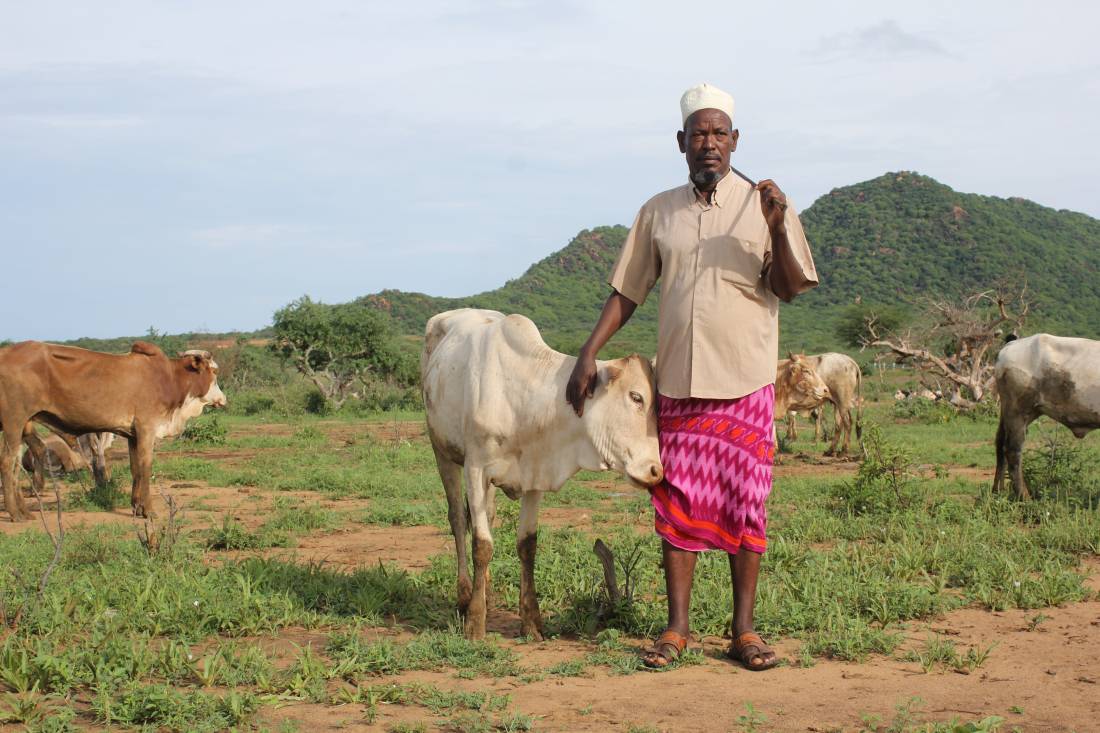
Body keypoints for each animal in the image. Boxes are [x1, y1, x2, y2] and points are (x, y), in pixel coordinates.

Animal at [0, 341, 225, 520]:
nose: (223, 399)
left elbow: (135, 469)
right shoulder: (146, 429)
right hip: (13, 422)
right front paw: (149, 511)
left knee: (17, 465)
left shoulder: (132, 435)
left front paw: (137, 507)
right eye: (214, 371)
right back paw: (15, 514)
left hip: (22, 426)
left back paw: (24, 511)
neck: (169, 378)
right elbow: (145, 468)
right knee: (7, 463)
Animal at [421, 309, 663, 640]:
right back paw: (465, 595)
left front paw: (531, 622)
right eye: (636, 397)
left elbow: (527, 545)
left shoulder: (535, 475)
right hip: (442, 452)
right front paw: (474, 622)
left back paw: (486, 590)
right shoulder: (475, 468)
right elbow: (482, 545)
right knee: (458, 519)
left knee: (487, 517)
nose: (656, 471)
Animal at [993, 334, 1100, 500]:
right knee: (1012, 451)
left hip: (1013, 413)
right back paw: (1025, 498)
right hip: (1017, 412)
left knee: (1000, 445)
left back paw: (997, 493)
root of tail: (1012, 344)